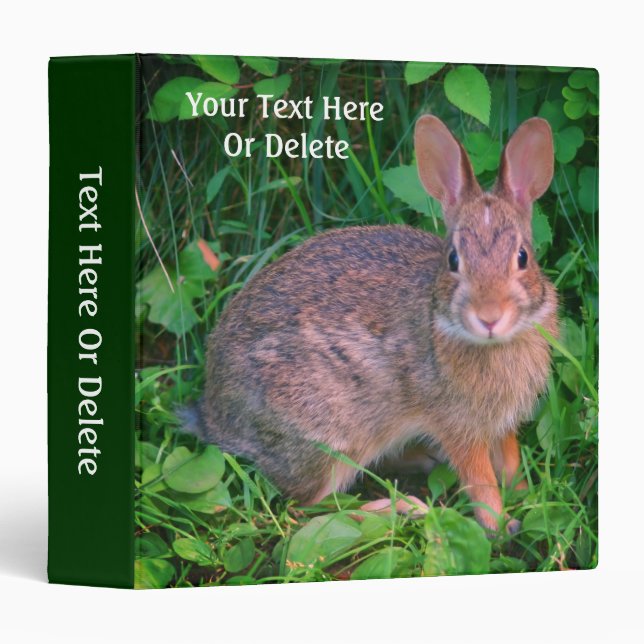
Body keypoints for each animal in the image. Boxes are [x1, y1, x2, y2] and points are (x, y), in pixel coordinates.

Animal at [189, 115, 558, 534]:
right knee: (307, 510)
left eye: (523, 257)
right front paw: (499, 524)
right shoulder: (458, 425)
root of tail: (217, 417)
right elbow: (479, 479)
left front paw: (527, 494)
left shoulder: (501, 422)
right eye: (452, 260)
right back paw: (400, 508)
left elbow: (509, 459)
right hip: (332, 436)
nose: (489, 316)